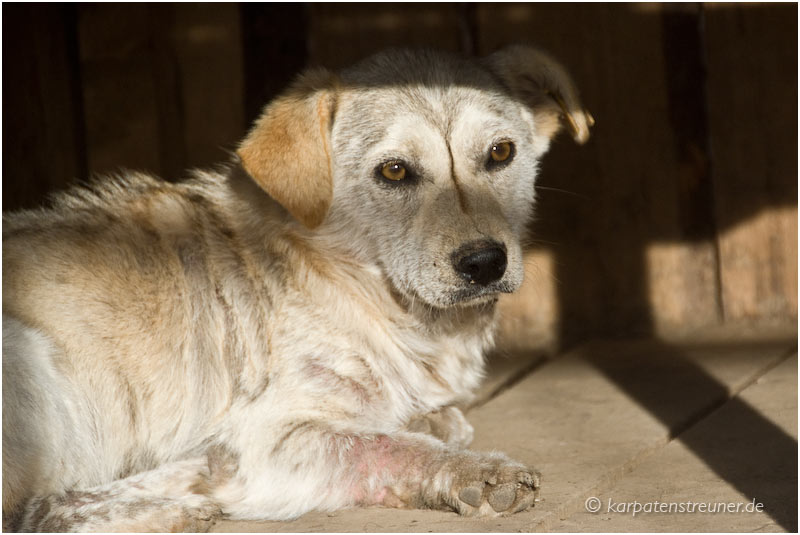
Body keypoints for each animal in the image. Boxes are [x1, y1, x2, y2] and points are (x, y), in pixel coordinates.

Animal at [0, 46, 592, 532]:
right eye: (394, 171)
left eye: (500, 153)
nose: (485, 263)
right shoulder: (276, 440)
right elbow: (390, 446)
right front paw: (474, 469)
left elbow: (421, 422)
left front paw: (429, 418)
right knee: (32, 513)